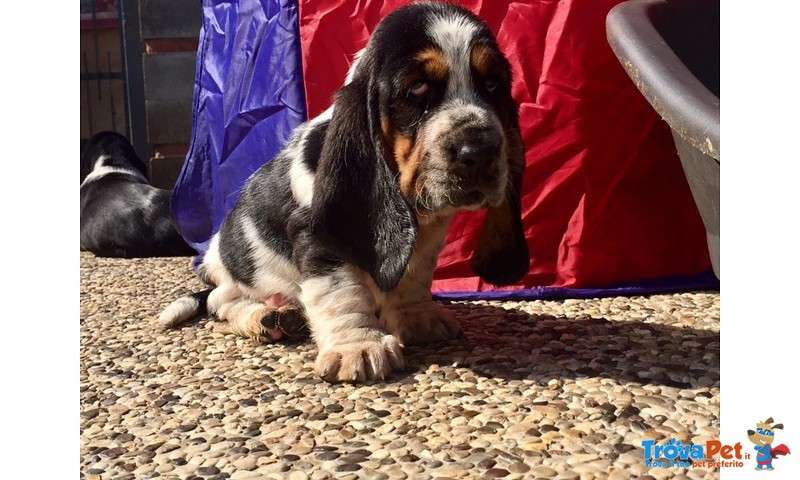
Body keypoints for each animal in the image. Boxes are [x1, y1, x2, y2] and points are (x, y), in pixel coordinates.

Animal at [159, 0, 528, 382]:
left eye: (493, 83)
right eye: (417, 89)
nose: (480, 151)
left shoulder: (428, 240)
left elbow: (414, 276)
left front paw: (417, 318)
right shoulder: (318, 237)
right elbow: (342, 291)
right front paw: (358, 346)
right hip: (235, 274)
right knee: (221, 302)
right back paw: (267, 317)